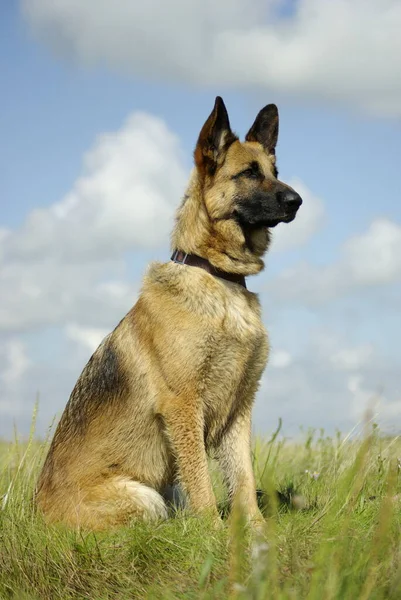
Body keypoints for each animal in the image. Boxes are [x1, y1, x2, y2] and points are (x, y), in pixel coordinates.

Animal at [36, 97, 302, 528]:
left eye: (275, 172)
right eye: (248, 173)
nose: (298, 201)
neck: (218, 277)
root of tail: (37, 514)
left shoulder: (239, 410)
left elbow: (243, 477)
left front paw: (256, 531)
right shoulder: (184, 406)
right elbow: (202, 481)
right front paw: (214, 532)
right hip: (146, 498)